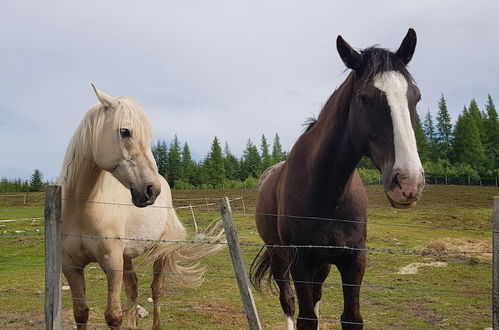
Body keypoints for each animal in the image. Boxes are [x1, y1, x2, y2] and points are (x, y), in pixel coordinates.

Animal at [59, 86, 223, 328]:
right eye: (125, 132)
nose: (151, 190)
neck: (84, 206)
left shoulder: (112, 262)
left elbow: (113, 316)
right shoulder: (71, 265)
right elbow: (81, 313)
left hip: (160, 252)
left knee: (157, 290)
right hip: (126, 256)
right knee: (133, 287)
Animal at [250, 29, 426, 328]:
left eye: (416, 96)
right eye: (364, 98)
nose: (408, 183)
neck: (328, 191)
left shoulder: (353, 260)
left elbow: (351, 317)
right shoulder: (301, 262)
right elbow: (306, 318)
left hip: (321, 265)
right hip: (279, 256)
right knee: (288, 301)